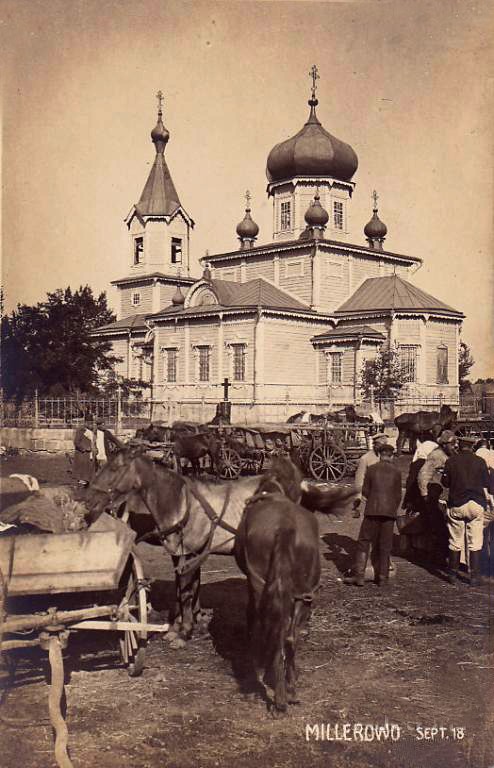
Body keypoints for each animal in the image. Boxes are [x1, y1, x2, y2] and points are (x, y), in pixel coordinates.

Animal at [235, 472, 320, 712]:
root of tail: (285, 527)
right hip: (303, 595)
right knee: (289, 637)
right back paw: (289, 691)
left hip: (261, 586)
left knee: (272, 631)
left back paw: (276, 692)